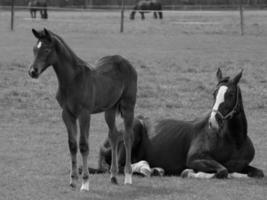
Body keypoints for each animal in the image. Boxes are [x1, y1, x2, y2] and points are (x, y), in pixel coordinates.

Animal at [28, 28, 138, 191]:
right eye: (34, 49)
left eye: (47, 50)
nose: (32, 71)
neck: (72, 80)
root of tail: (125, 61)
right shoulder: (67, 114)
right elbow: (72, 145)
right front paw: (73, 180)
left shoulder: (84, 114)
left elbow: (84, 145)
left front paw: (85, 183)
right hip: (110, 109)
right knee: (113, 135)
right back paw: (113, 176)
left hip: (128, 106)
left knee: (127, 136)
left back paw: (128, 177)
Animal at [89, 69, 264, 180]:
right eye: (214, 93)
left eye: (231, 94)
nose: (214, 121)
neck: (234, 141)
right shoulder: (195, 159)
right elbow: (223, 171)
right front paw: (189, 173)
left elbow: (258, 173)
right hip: (132, 130)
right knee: (120, 167)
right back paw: (147, 168)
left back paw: (154, 169)